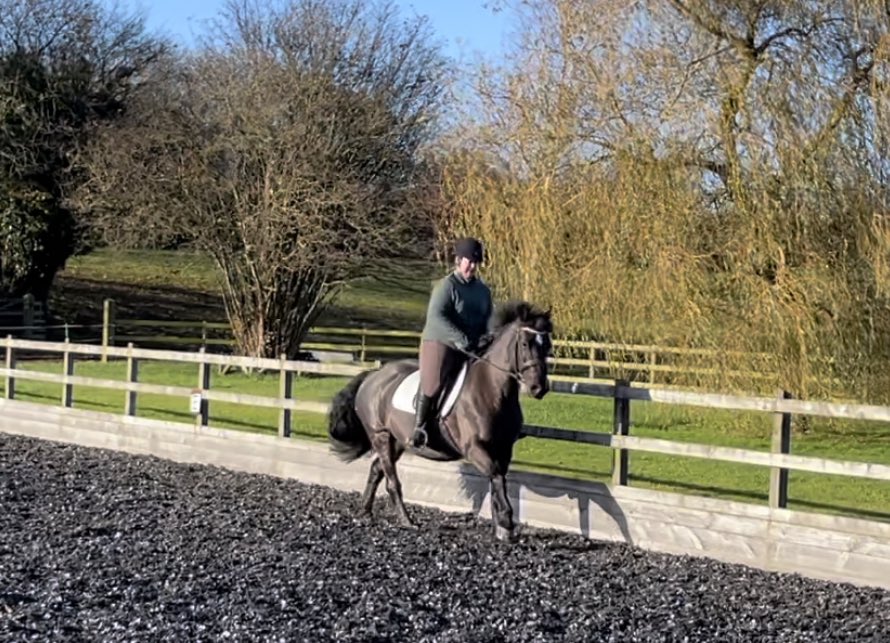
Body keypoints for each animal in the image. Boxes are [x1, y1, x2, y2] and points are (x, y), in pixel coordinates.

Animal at [326, 300, 553, 541]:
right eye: (525, 343)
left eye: (547, 345)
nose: (539, 388)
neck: (492, 391)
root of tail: (374, 375)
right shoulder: (475, 449)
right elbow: (496, 476)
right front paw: (506, 524)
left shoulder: (503, 449)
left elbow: (497, 482)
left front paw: (501, 528)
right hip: (380, 435)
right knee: (391, 481)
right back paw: (407, 521)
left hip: (397, 440)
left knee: (377, 470)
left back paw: (366, 512)